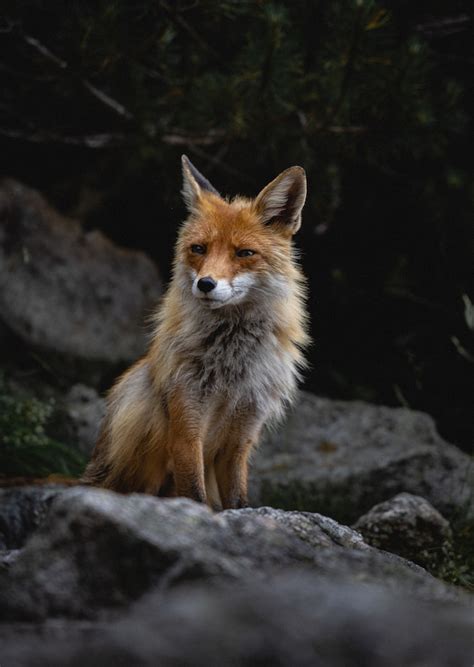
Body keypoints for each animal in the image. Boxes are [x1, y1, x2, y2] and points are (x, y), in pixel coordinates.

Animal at [81, 155, 310, 509]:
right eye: (199, 249)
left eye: (244, 253)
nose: (205, 284)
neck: (231, 367)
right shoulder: (186, 426)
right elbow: (195, 495)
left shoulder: (242, 435)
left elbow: (237, 500)